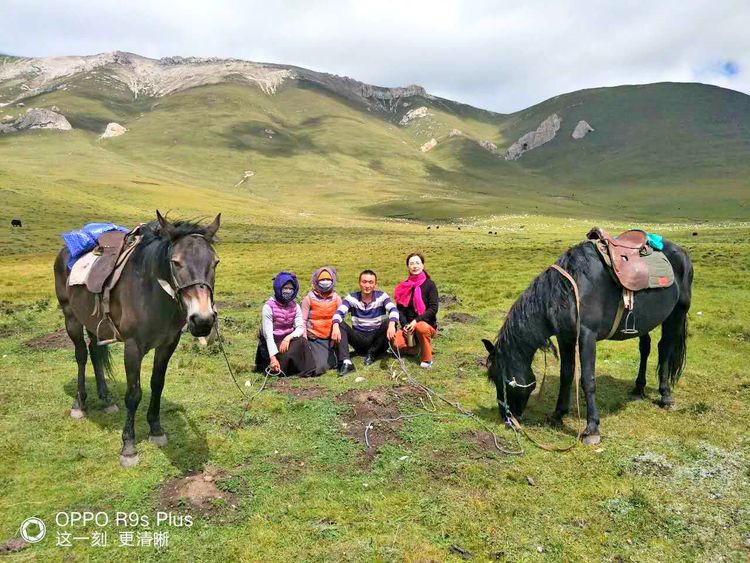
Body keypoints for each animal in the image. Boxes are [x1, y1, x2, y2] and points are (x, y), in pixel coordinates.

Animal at [54, 212, 220, 468]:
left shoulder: (167, 345)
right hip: (71, 317)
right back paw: (80, 405)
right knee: (81, 355)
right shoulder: (133, 347)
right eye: (176, 262)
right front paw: (128, 447)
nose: (202, 320)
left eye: (215, 263)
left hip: (93, 322)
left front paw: (156, 429)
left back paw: (106, 400)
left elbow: (157, 384)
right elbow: (134, 394)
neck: (152, 292)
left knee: (94, 352)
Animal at [484, 238, 696, 446]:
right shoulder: (565, 337)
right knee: (645, 348)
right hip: (645, 321)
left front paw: (592, 429)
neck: (571, 290)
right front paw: (558, 415)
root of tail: (681, 252)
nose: (506, 418)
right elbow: (566, 375)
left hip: (677, 313)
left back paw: (665, 396)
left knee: (665, 349)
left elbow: (587, 380)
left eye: (499, 378)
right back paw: (638, 388)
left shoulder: (587, 336)